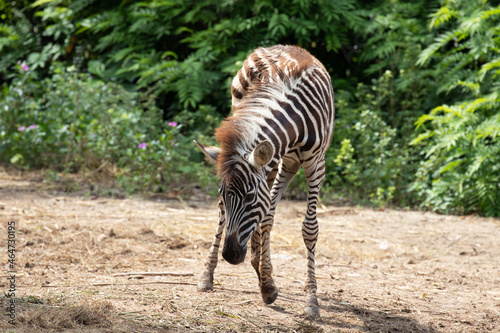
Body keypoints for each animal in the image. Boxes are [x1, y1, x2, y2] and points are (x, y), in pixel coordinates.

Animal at [195, 44, 336, 316]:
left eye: (249, 197)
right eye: (222, 194)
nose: (231, 255)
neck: (294, 119)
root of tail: (283, 46)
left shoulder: (313, 164)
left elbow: (307, 228)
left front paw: (310, 298)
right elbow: (261, 217)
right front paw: (267, 283)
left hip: (276, 164)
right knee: (227, 216)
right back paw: (211, 274)